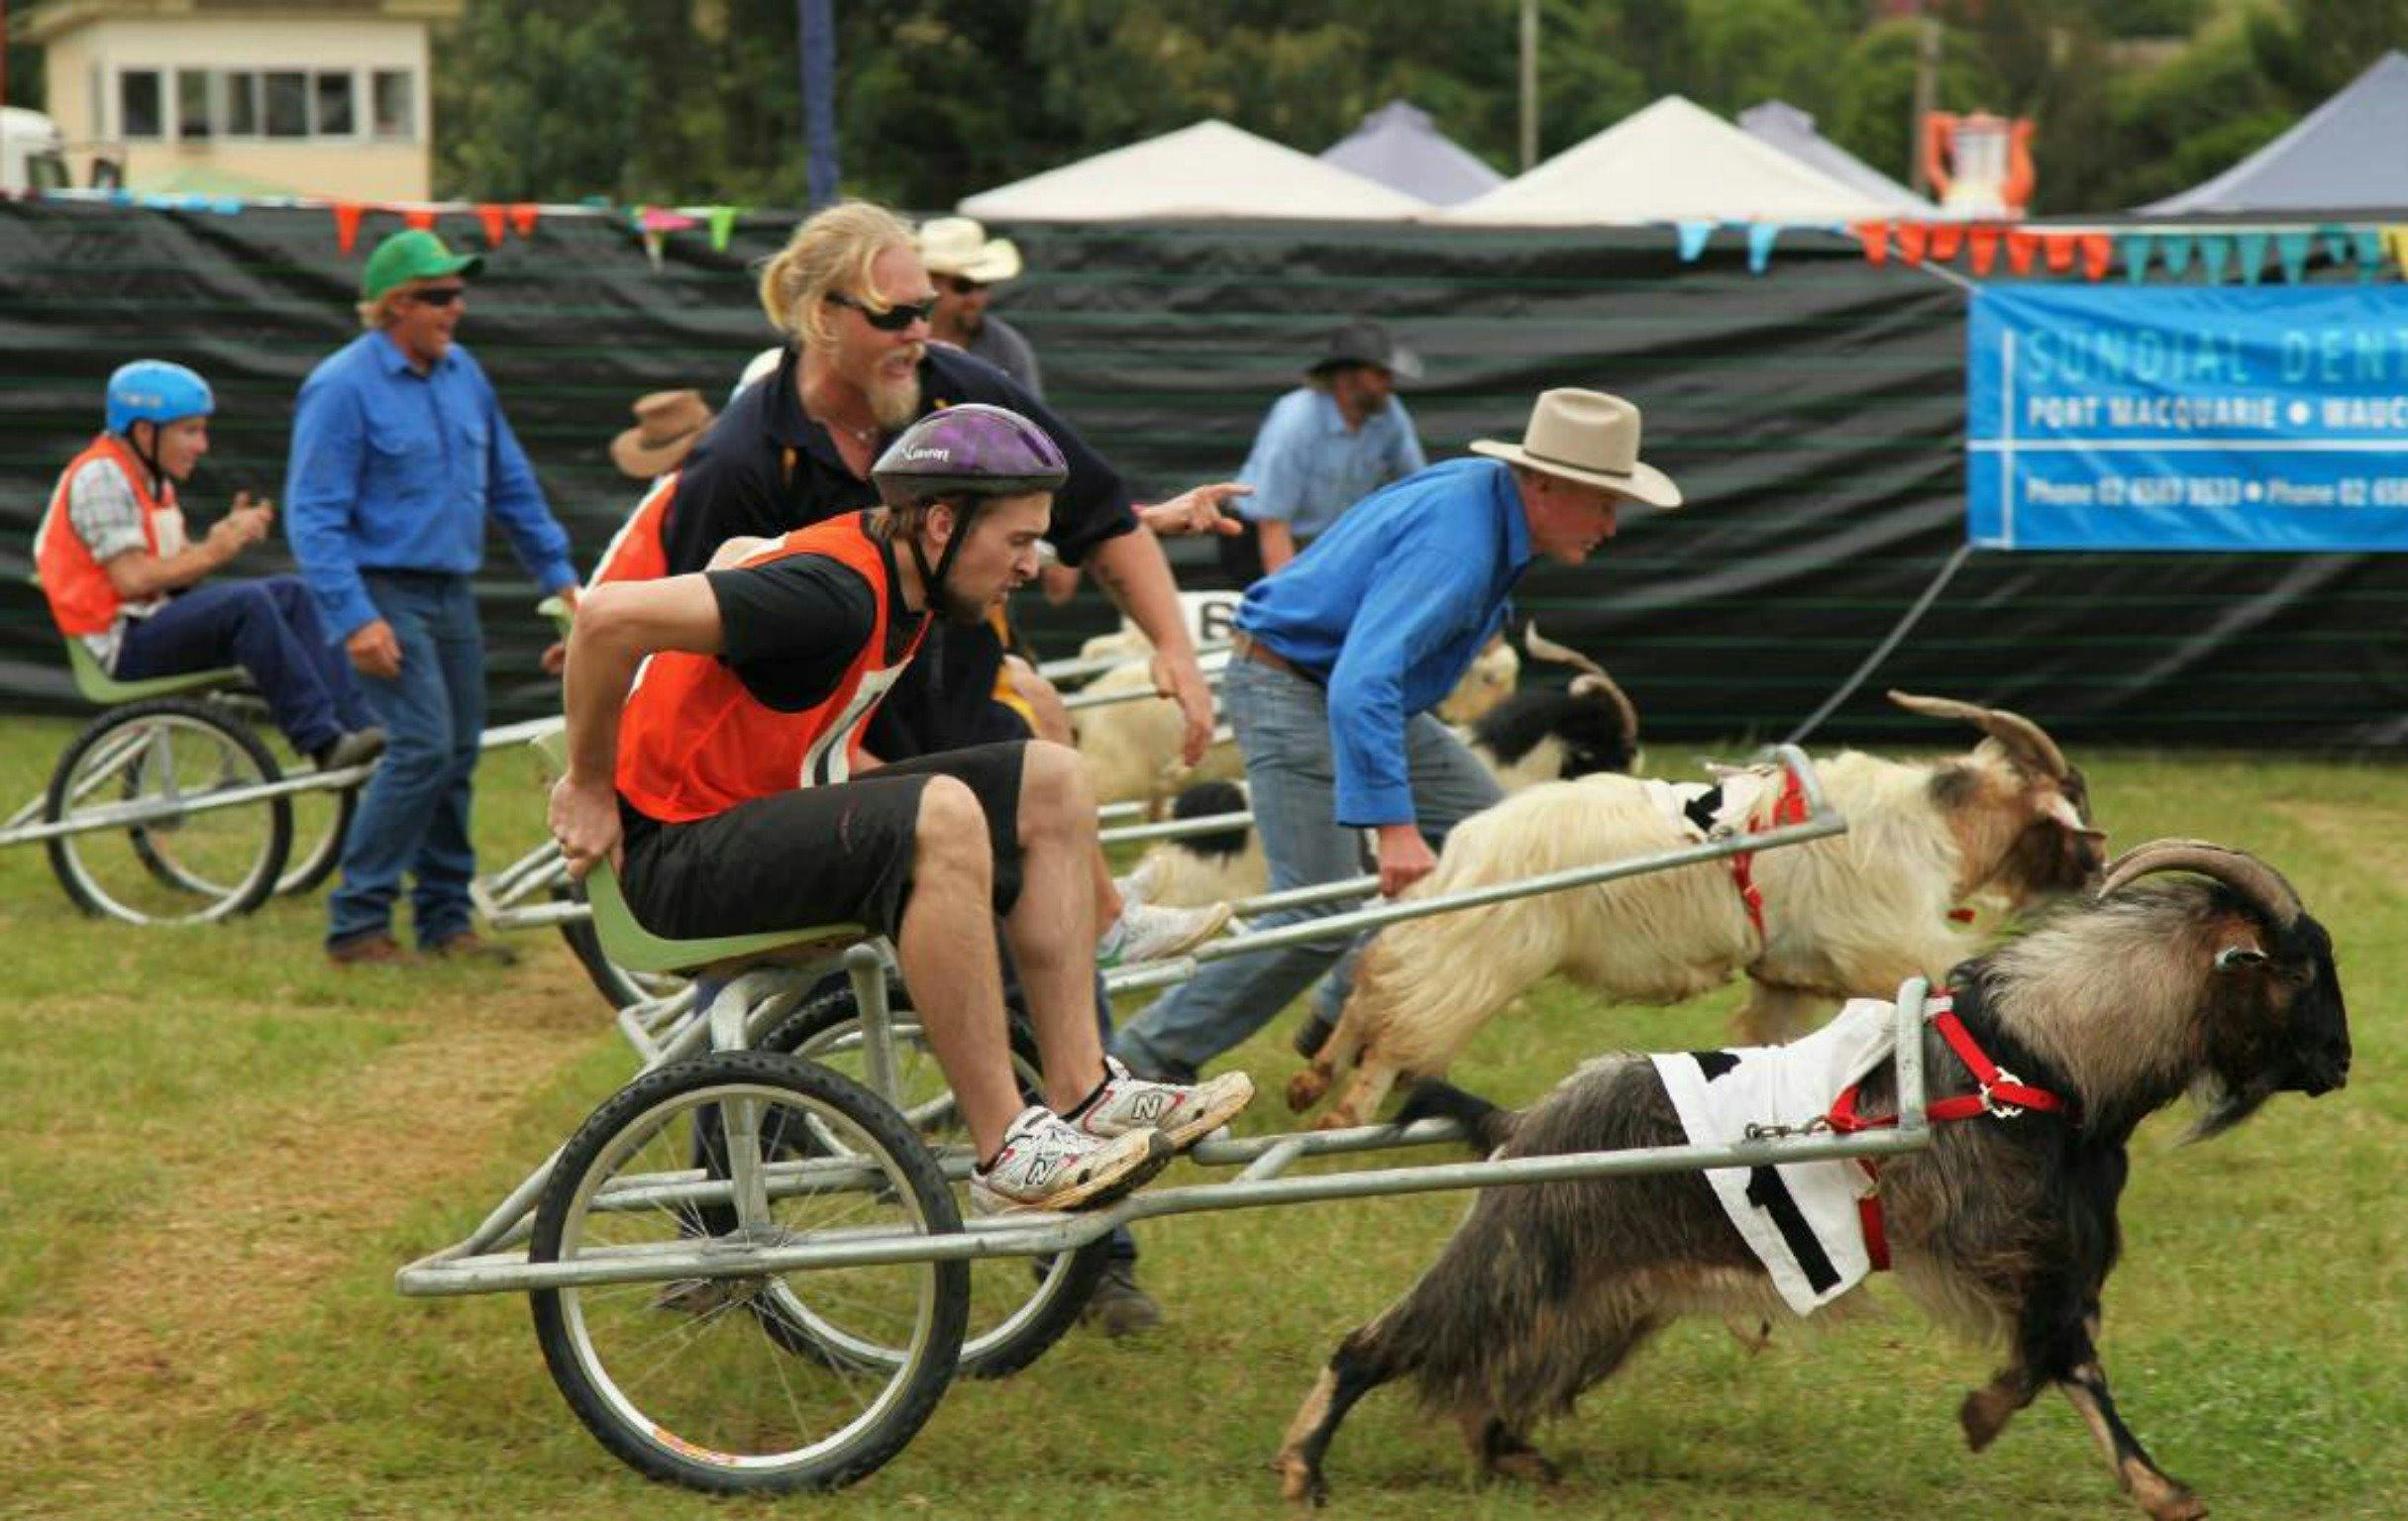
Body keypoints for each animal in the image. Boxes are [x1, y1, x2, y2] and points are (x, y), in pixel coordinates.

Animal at [1277, 839, 2350, 1519]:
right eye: (2295, 969)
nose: (2339, 1065)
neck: (2039, 1055)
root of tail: (1523, 1125)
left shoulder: (2052, 1250)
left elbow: (2063, 1358)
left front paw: (2133, 1477)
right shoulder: (2008, 1242)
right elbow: (2058, 1356)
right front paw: (2014, 1432)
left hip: (1597, 1302)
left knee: (1497, 1378)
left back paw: (1516, 1456)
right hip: (1513, 1258)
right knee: (1375, 1345)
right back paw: (1302, 1468)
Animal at [1287, 691, 2105, 1130]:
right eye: (2070, 799)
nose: (2098, 866)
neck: (1929, 821)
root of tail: (1467, 843)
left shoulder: (1784, 980)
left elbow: (1770, 1040)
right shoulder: (1895, 950)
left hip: (1448, 931)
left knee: (1375, 977)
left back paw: (1312, 1081)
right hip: (1483, 952)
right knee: (1402, 1020)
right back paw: (1340, 1112)